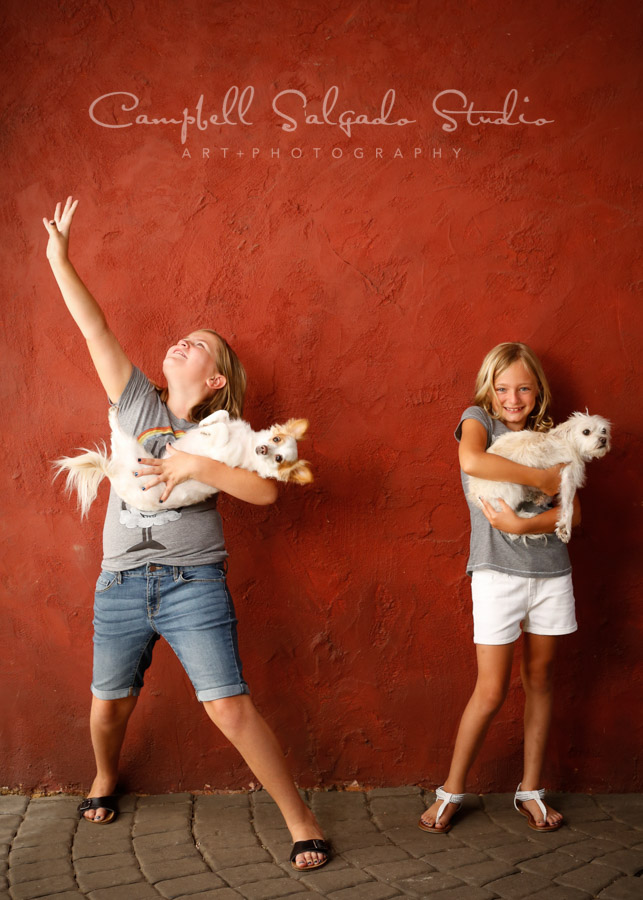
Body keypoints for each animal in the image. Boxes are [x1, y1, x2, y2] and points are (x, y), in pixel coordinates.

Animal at [56, 406, 314, 516]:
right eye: (275, 438)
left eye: (279, 458)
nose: (263, 449)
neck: (246, 442)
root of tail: (112, 473)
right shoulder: (229, 421)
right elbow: (223, 415)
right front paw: (206, 422)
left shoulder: (221, 449)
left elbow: (221, 431)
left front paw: (207, 430)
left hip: (131, 448)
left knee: (115, 434)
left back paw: (113, 415)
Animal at [470, 414, 612, 540]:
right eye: (586, 432)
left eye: (604, 430)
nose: (603, 439)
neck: (569, 442)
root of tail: (475, 497)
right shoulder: (568, 476)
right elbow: (569, 506)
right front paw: (565, 527)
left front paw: (540, 497)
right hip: (512, 487)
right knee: (508, 522)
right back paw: (525, 516)